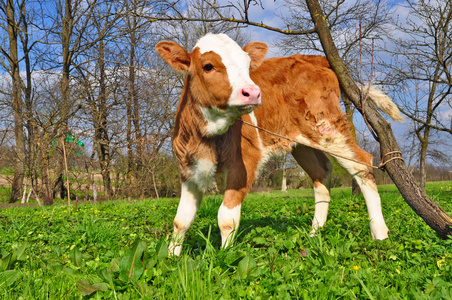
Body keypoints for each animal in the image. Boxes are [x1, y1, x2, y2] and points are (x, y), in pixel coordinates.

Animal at [156, 33, 402, 255]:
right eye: (208, 66)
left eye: (247, 66)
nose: (253, 92)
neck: (207, 137)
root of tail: (313, 58)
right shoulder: (188, 170)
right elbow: (181, 220)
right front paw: (172, 258)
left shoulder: (243, 166)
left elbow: (227, 218)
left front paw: (225, 259)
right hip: (303, 143)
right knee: (321, 174)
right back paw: (314, 235)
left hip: (329, 128)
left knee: (362, 162)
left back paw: (379, 234)